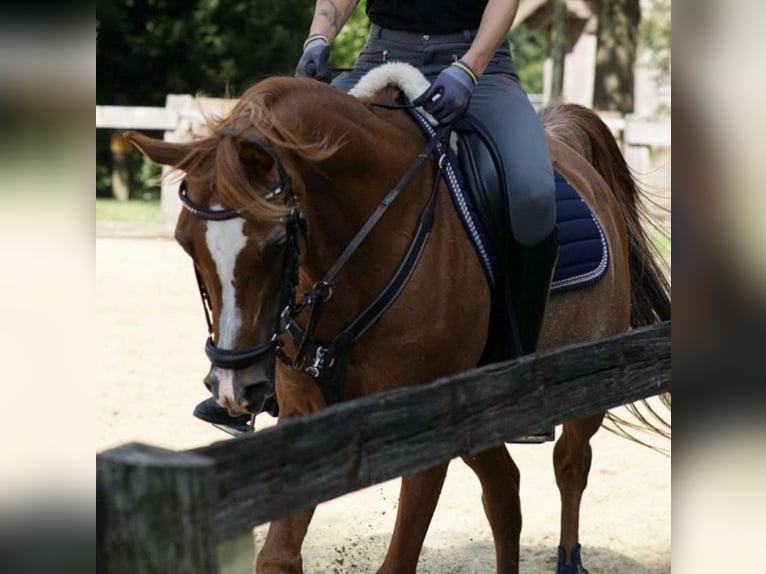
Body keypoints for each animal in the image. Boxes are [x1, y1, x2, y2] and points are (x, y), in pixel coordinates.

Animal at [127, 75, 672, 574]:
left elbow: (400, 559)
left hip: (587, 386)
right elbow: (278, 556)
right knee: (504, 492)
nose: (233, 386)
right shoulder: (305, 420)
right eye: (186, 242)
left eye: (275, 241)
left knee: (570, 464)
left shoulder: (430, 431)